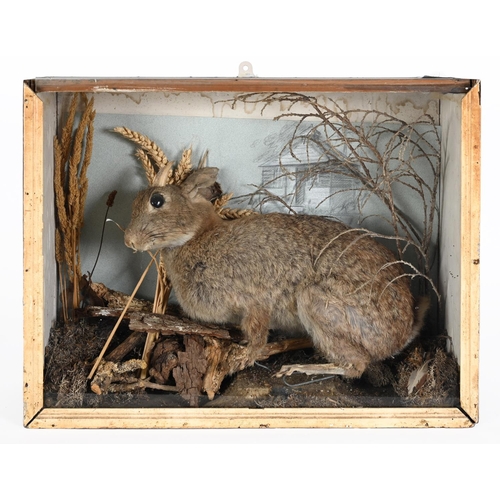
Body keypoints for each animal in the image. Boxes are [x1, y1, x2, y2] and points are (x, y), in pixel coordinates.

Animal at [124, 165, 428, 378]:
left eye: (157, 201)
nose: (129, 241)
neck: (196, 237)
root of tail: (400, 336)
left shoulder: (253, 302)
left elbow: (257, 336)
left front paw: (240, 358)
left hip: (317, 302)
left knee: (357, 365)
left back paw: (297, 368)